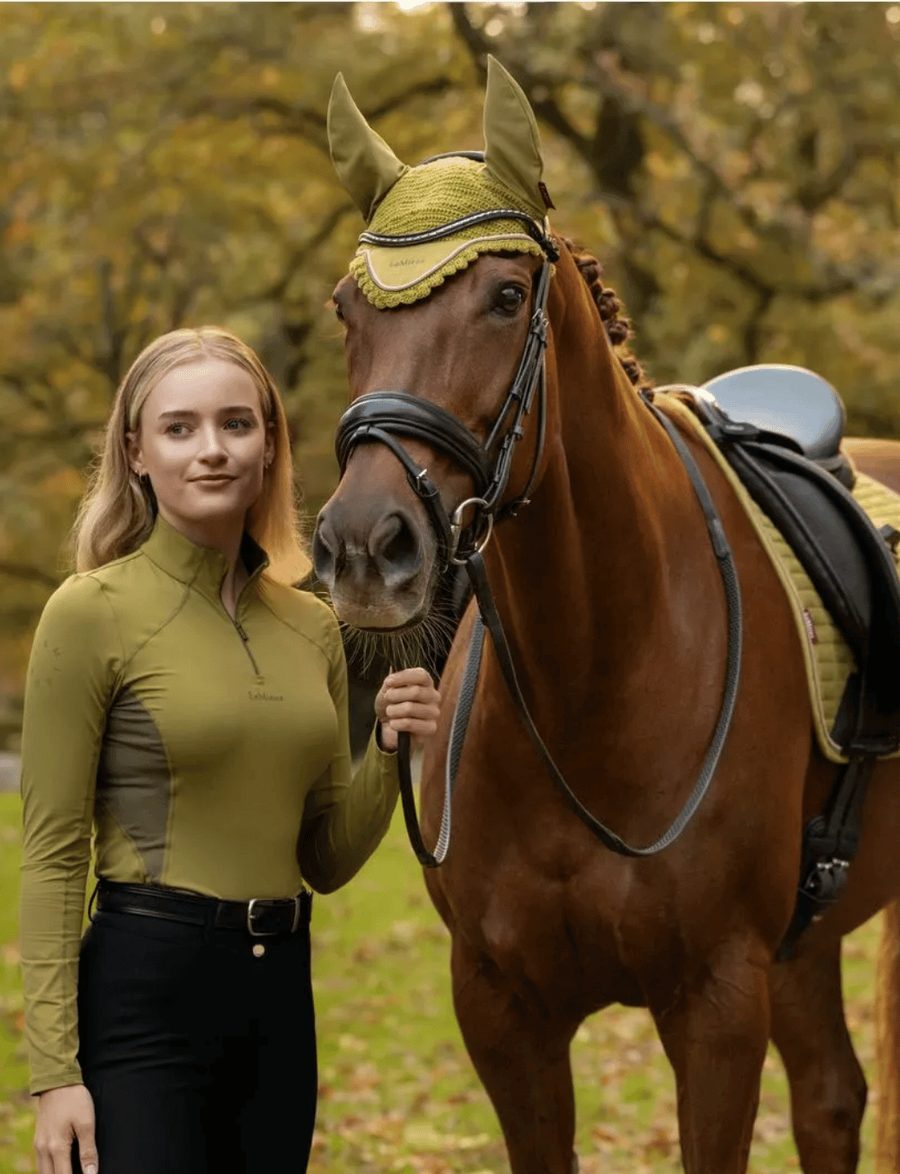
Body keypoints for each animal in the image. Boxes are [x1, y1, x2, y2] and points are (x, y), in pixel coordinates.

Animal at [312, 59, 900, 1173]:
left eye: (505, 298)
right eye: (345, 311)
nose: (366, 545)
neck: (598, 673)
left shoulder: (718, 1002)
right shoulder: (503, 1010)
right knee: (831, 1099)